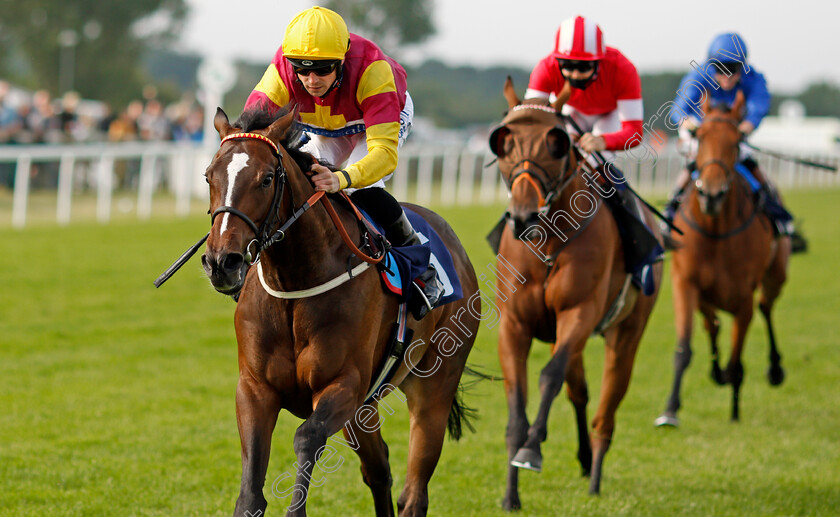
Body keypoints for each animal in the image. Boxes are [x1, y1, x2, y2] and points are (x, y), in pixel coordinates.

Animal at [201, 106, 482, 516]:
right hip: (364, 410)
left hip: (435, 383)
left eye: (266, 179)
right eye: (209, 176)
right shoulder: (255, 388)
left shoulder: (344, 383)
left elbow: (307, 435)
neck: (294, 284)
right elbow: (251, 488)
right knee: (379, 468)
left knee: (415, 490)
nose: (222, 262)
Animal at [492, 78, 664, 506]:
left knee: (607, 404)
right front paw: (510, 494)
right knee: (580, 393)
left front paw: (531, 451)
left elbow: (550, 377)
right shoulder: (514, 324)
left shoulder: (580, 313)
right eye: (504, 143)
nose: (522, 217)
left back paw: (596, 474)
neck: (548, 241)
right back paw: (585, 459)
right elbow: (518, 399)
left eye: (555, 144)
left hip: (627, 332)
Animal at [652, 93, 792, 428]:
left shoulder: (743, 297)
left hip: (776, 275)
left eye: (736, 140)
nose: (711, 194)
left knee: (766, 306)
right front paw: (670, 410)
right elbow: (685, 347)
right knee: (713, 323)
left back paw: (772, 370)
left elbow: (737, 356)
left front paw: (735, 403)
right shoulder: (685, 283)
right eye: (699, 136)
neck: (716, 230)